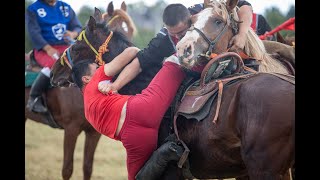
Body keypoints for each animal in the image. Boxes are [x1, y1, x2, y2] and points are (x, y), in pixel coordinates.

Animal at [24, 1, 135, 180]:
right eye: (118, 29)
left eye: (130, 30)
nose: (55, 72)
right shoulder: (71, 129)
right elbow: (67, 169)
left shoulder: (93, 133)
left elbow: (87, 167)